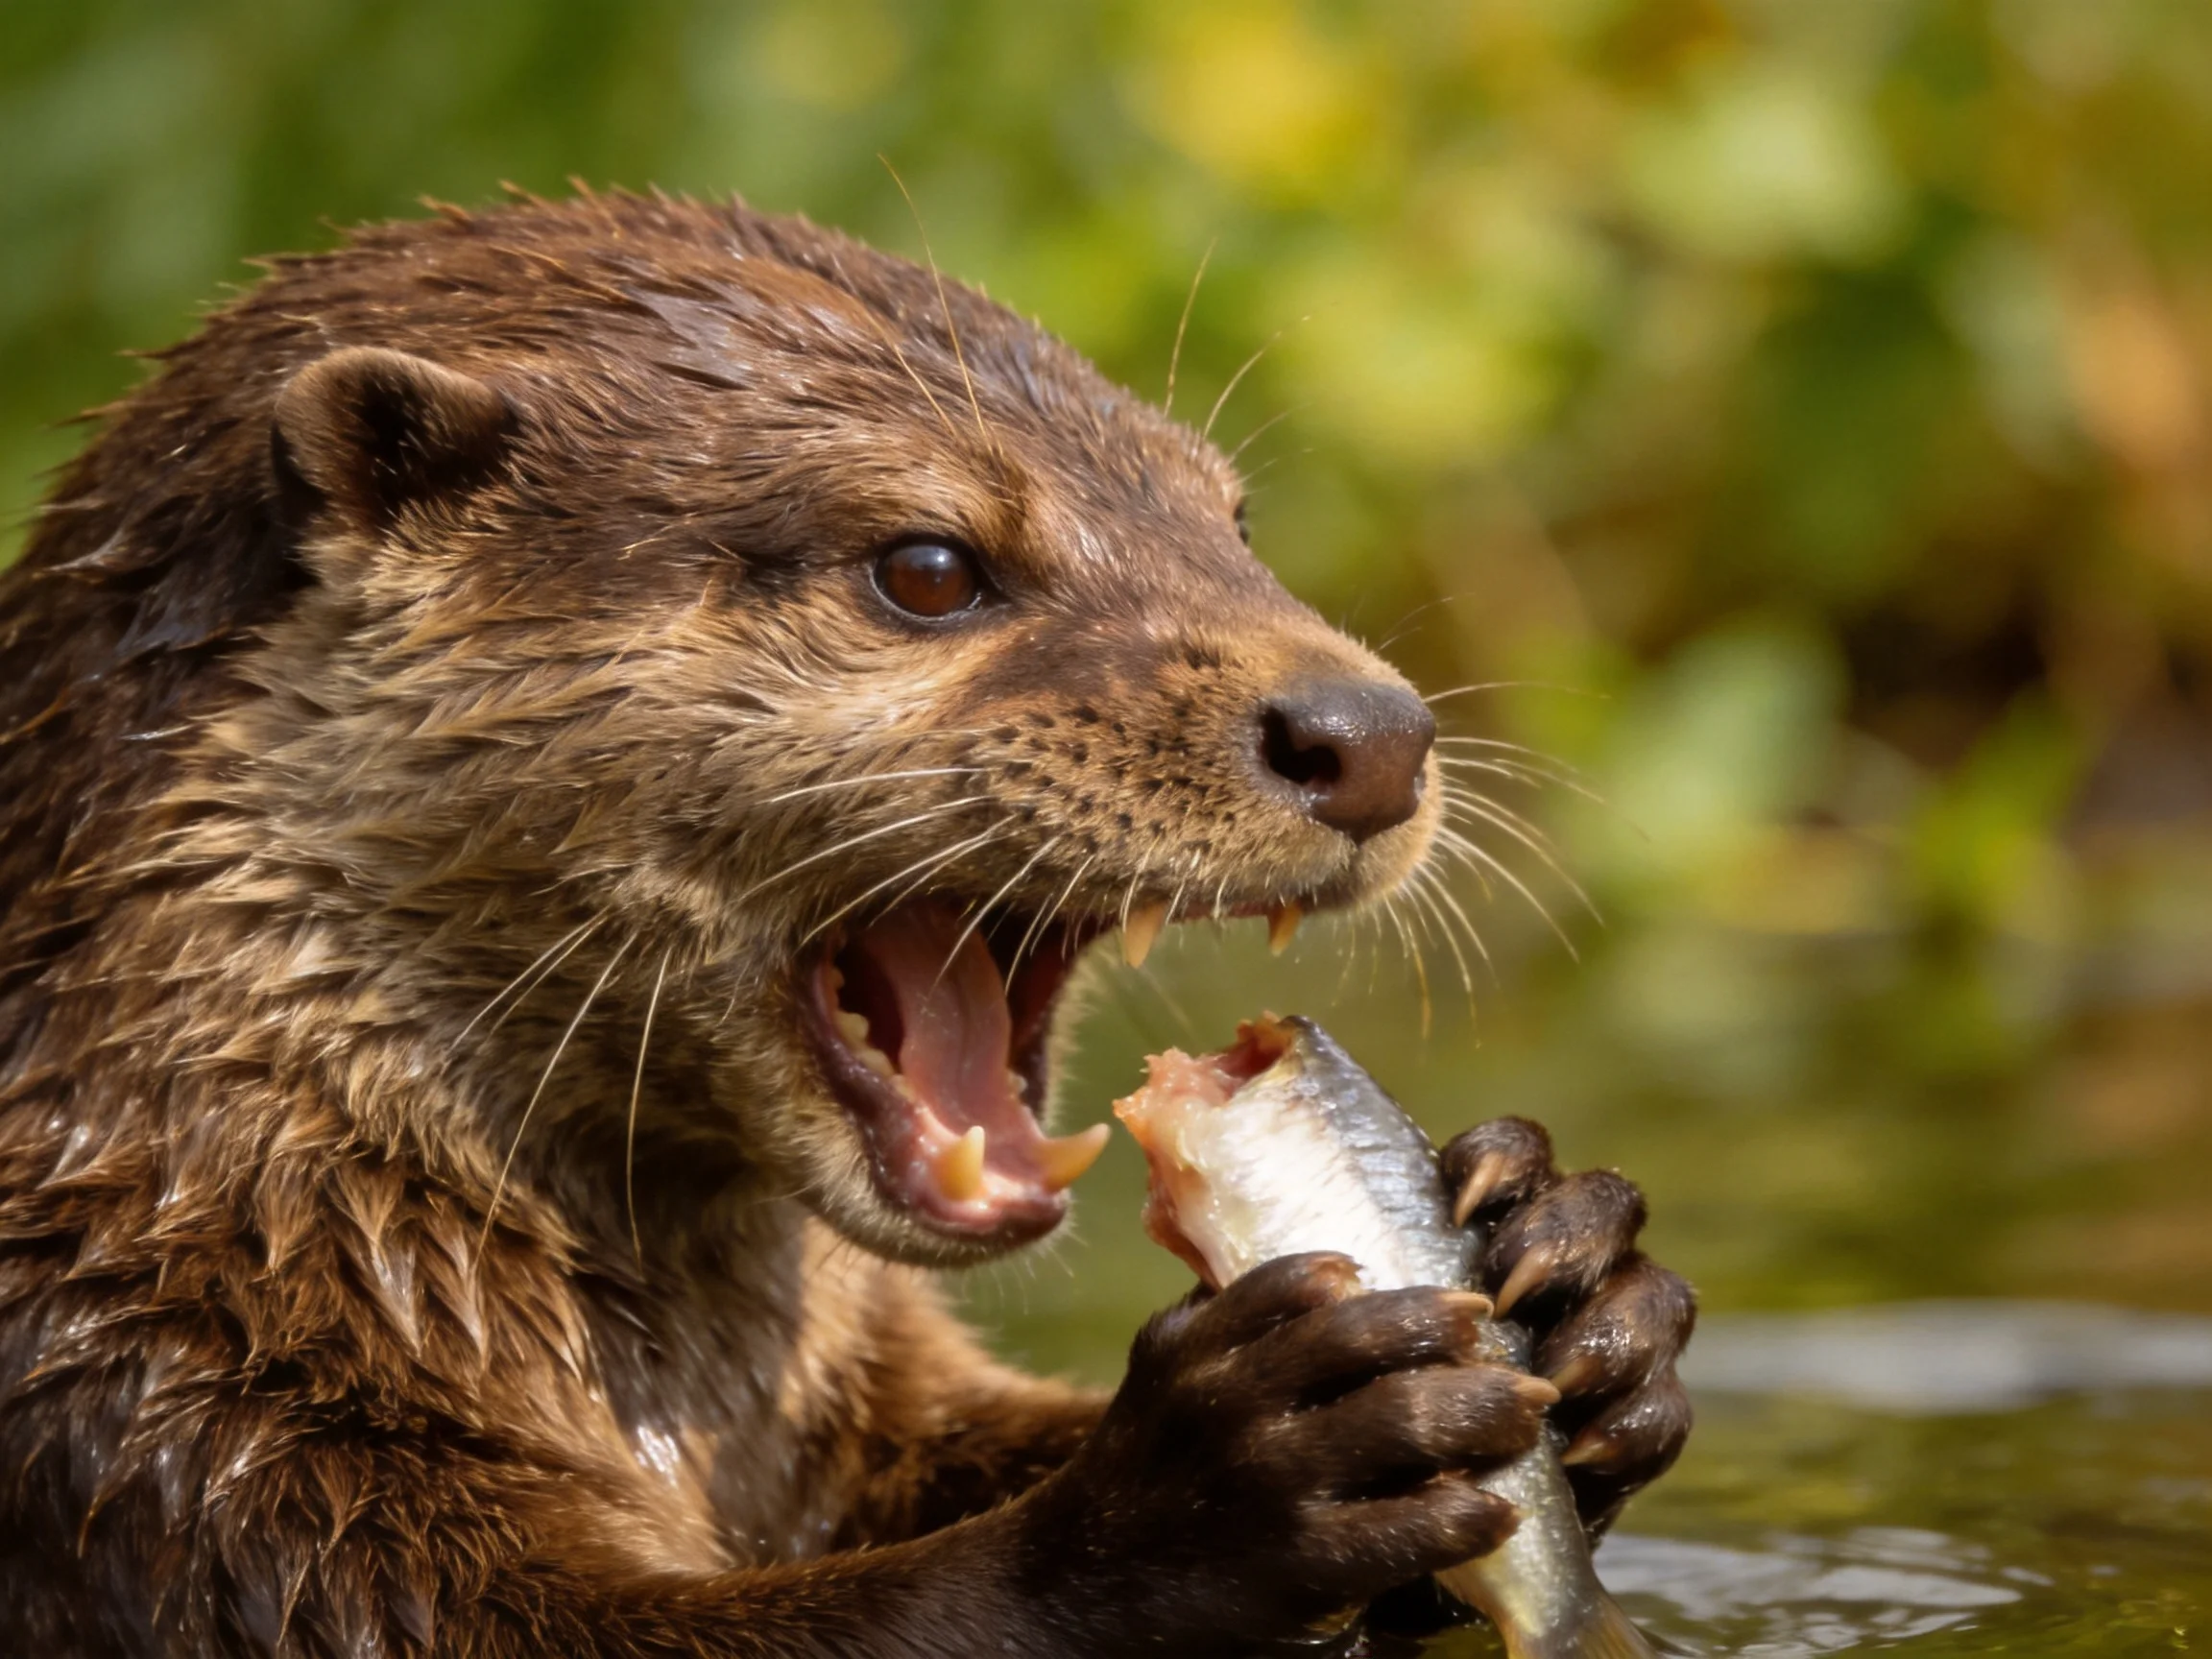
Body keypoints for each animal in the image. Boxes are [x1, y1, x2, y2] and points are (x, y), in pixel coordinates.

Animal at [0, 190, 1693, 1657]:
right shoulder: (187, 1456)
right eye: (929, 564)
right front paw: (1216, 1479)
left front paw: (1569, 1266)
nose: (1370, 730)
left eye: (1237, 522)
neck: (232, 1208)